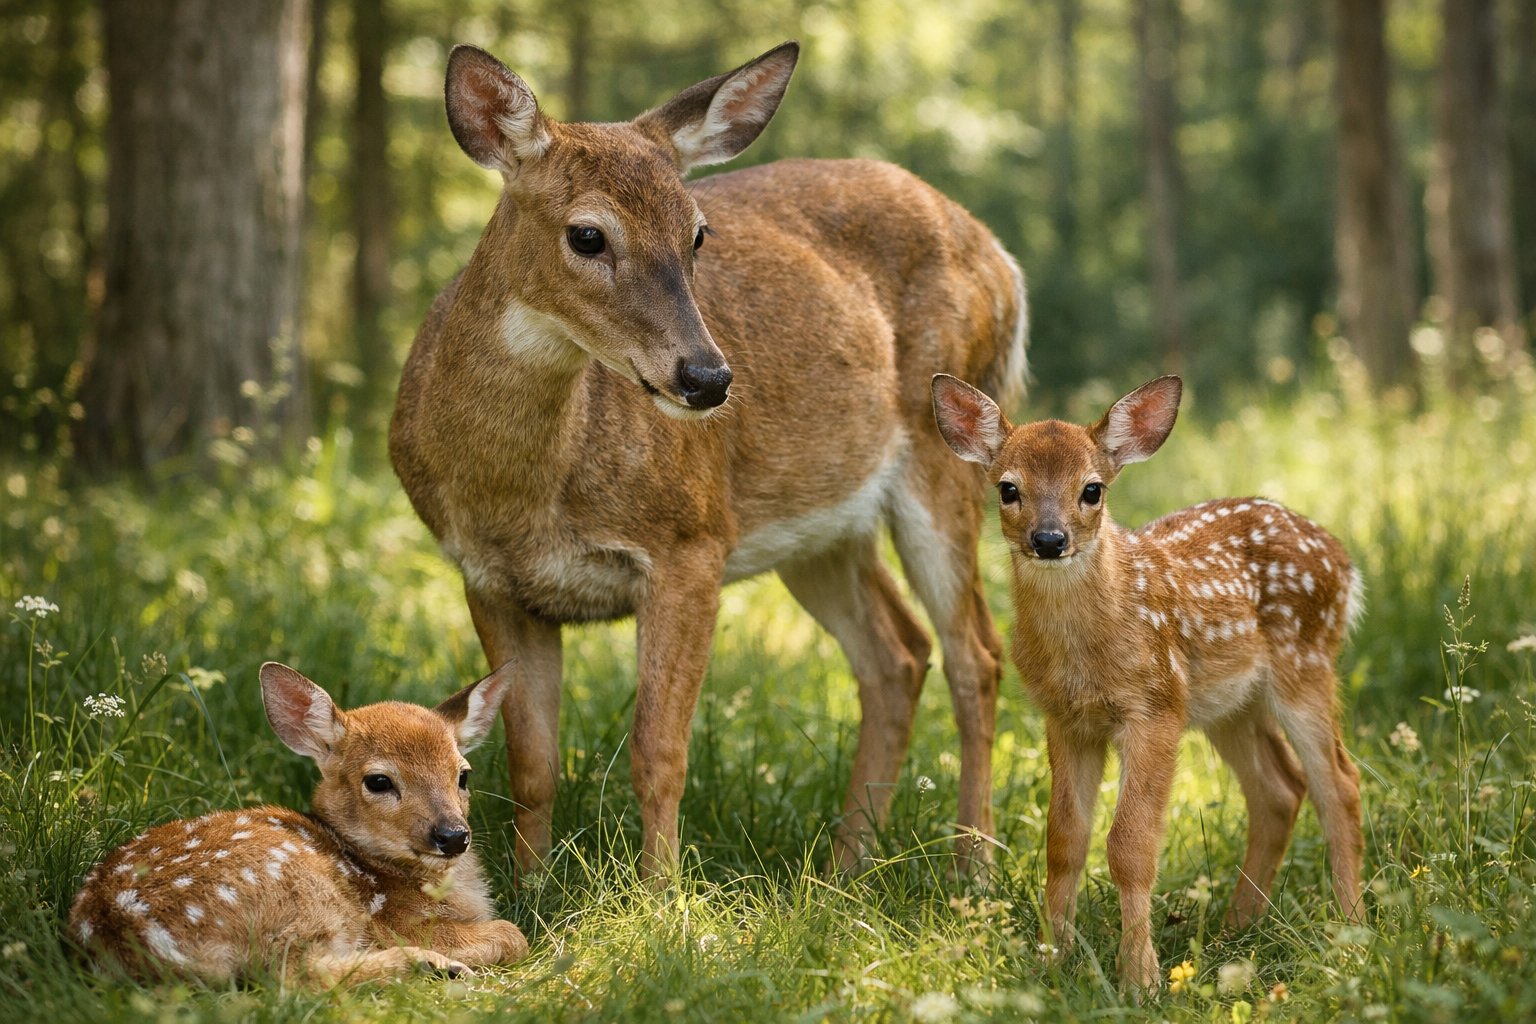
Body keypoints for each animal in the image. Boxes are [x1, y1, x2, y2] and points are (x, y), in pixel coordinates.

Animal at [68, 663, 529, 985]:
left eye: (463, 774)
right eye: (378, 781)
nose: (453, 836)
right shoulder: (396, 921)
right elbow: (513, 934)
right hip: (301, 893)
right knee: (297, 976)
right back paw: (434, 967)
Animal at [389, 40, 1027, 881]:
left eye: (697, 233)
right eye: (587, 235)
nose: (707, 377)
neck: (521, 494)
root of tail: (1001, 257)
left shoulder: (690, 540)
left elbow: (659, 751)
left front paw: (660, 895)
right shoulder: (488, 577)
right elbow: (529, 764)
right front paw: (527, 889)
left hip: (947, 450)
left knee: (975, 652)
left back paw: (972, 872)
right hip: (817, 523)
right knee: (897, 654)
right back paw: (844, 868)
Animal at [931, 373, 1364, 992]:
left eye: (1092, 490)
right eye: (1008, 489)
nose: (1049, 539)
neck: (1088, 652)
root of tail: (1344, 560)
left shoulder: (1154, 706)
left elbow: (1129, 846)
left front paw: (1141, 980)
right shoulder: (1066, 718)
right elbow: (1064, 840)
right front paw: (1051, 961)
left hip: (1304, 664)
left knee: (1340, 785)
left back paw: (1349, 937)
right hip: (1226, 704)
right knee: (1280, 788)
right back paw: (1235, 932)